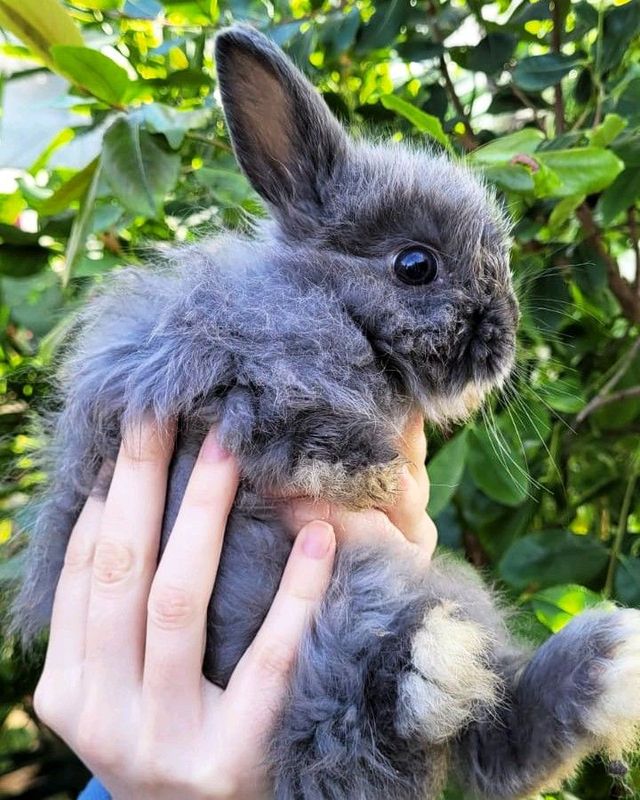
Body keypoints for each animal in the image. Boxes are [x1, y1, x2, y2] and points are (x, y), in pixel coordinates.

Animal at [12, 25, 640, 800]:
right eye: (415, 265)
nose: (505, 335)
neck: (327, 297)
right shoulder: (232, 368)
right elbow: (295, 423)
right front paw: (365, 470)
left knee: (482, 739)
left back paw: (598, 664)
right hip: (355, 603)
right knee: (366, 734)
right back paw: (427, 669)